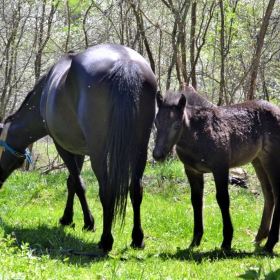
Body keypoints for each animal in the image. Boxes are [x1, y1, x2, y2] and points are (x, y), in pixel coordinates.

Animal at [0, 43, 158, 252]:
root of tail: (125, 64)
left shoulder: (63, 147)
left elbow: (78, 183)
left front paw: (87, 221)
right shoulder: (79, 151)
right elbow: (72, 183)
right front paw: (70, 218)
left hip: (99, 153)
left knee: (106, 190)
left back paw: (106, 241)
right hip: (139, 149)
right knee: (136, 189)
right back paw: (137, 239)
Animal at [153, 86, 280, 253]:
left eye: (176, 125)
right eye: (156, 122)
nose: (157, 154)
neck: (197, 135)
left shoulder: (220, 168)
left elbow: (223, 199)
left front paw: (226, 242)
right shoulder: (192, 171)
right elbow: (196, 200)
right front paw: (195, 241)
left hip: (271, 159)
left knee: (276, 195)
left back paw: (270, 243)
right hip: (258, 160)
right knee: (268, 194)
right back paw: (259, 237)